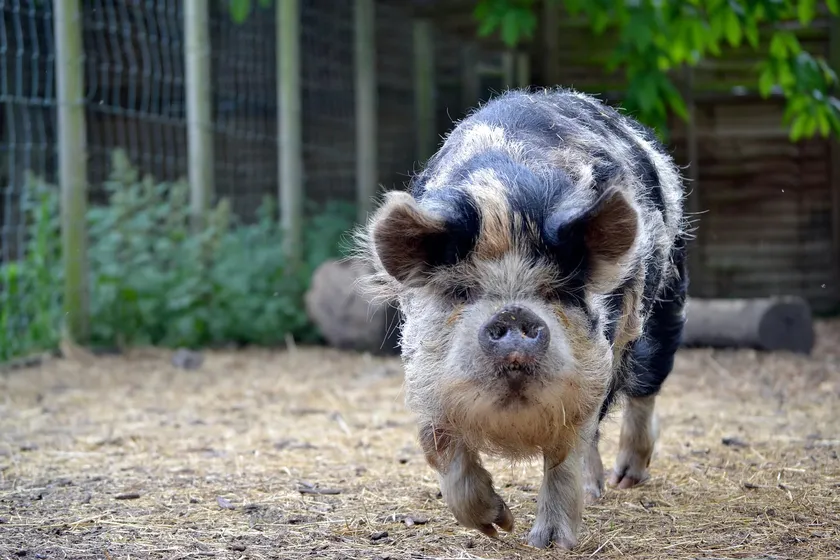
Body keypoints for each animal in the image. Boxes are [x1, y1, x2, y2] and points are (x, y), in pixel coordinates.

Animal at [353, 87, 689, 549]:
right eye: (463, 292)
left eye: (556, 292)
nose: (513, 313)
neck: (506, 203)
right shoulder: (424, 374)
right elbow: (438, 445)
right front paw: (498, 525)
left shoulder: (591, 370)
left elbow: (566, 453)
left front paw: (548, 543)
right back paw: (596, 491)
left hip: (669, 295)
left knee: (645, 382)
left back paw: (624, 481)